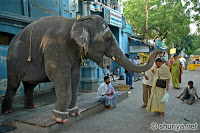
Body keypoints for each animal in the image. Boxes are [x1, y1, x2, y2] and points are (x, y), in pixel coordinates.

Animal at [1, 14, 159, 122]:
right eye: (108, 38)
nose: (158, 51)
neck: (77, 20)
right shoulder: (56, 46)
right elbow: (58, 75)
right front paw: (60, 118)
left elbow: (75, 77)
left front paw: (74, 113)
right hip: (12, 61)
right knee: (14, 85)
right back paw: (8, 111)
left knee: (29, 85)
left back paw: (31, 107)